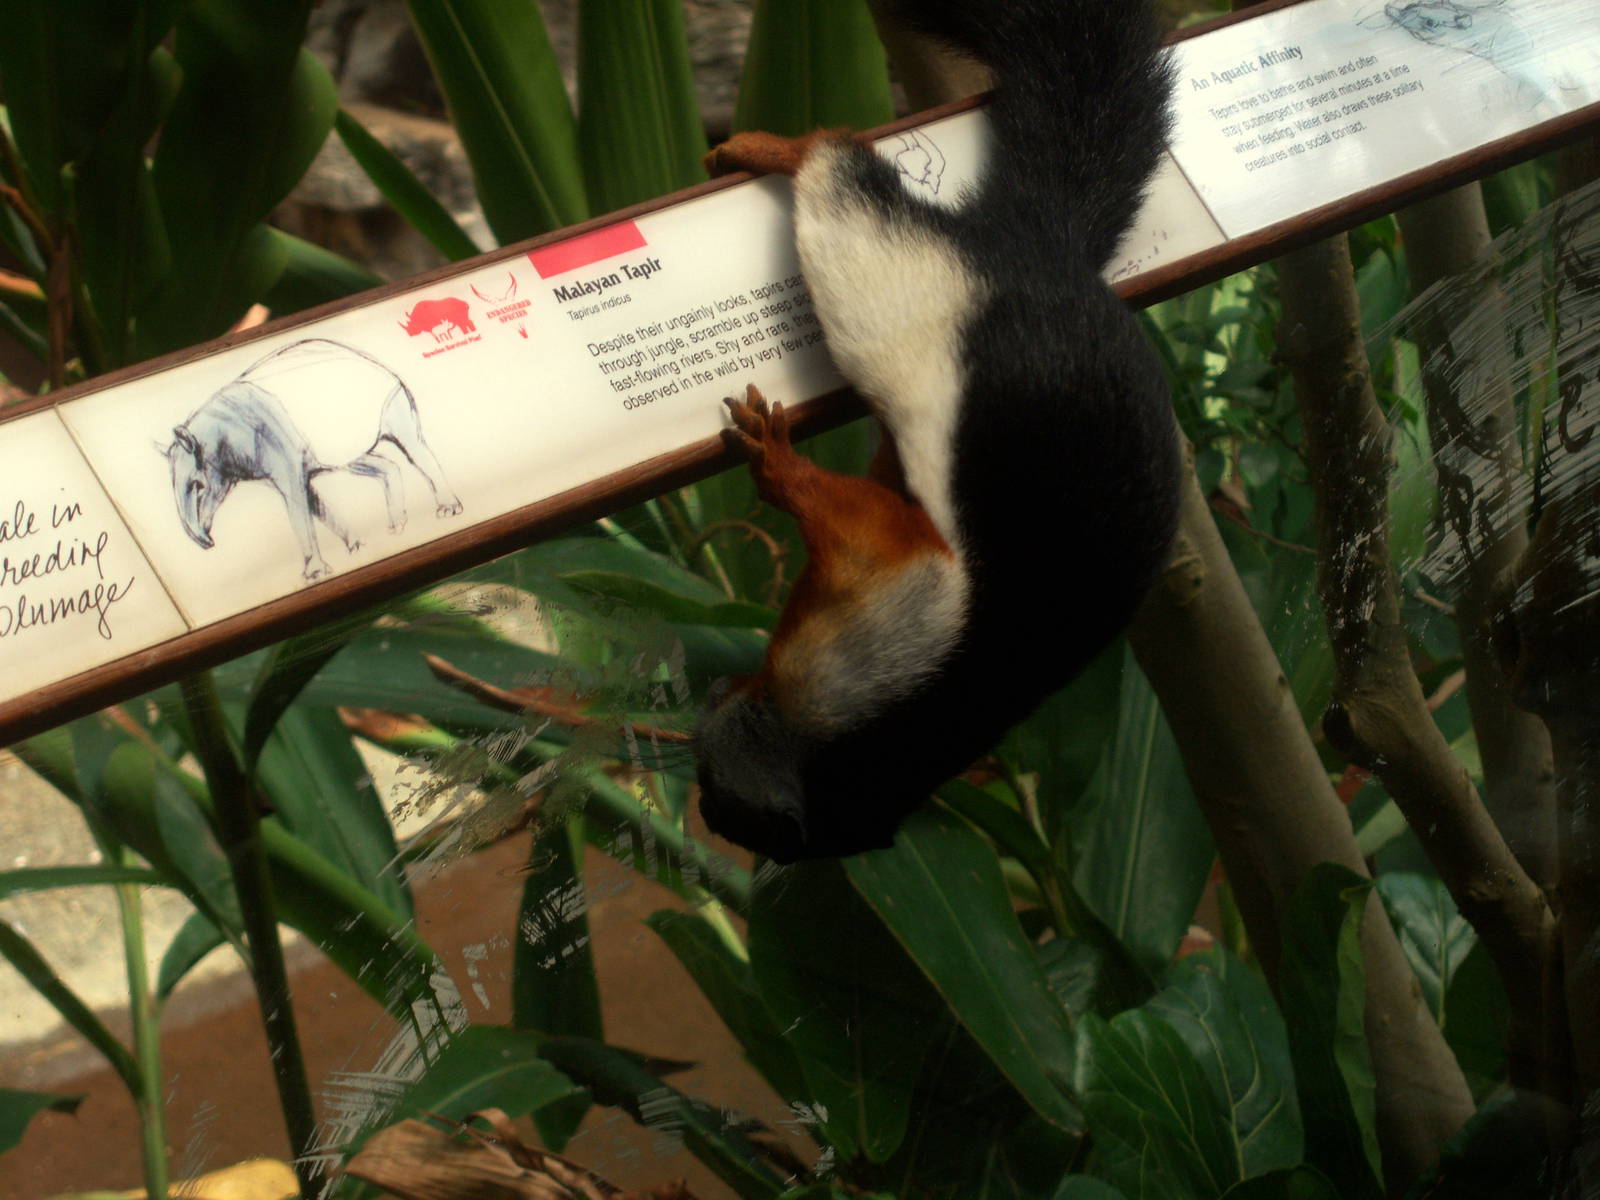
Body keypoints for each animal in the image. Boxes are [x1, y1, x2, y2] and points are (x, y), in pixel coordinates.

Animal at [694, 0, 1182, 863]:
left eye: (720, 800)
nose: (694, 779)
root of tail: (1039, 248)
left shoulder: (882, 614)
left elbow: (864, 519)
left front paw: (774, 463)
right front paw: (776, 455)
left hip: (894, 289)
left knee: (844, 187)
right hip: (901, 280)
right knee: (844, 168)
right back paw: (766, 149)